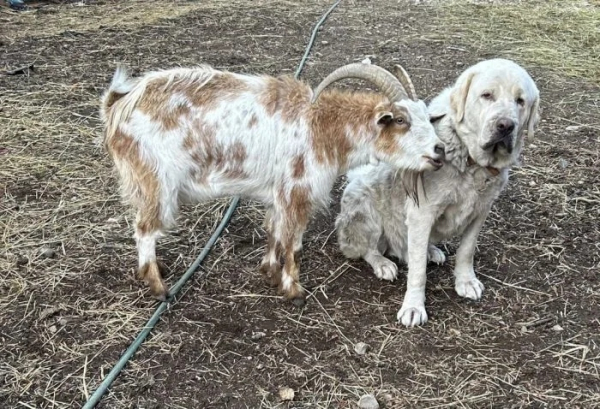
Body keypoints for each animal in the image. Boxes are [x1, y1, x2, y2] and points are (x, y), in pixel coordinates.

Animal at [99, 62, 446, 304]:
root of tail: (118, 105)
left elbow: (274, 231)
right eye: (400, 120)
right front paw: (294, 291)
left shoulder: (278, 193)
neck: (322, 127)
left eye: (427, 118)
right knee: (144, 229)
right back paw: (159, 287)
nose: (439, 151)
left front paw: (268, 271)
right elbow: (294, 243)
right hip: (156, 181)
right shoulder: (297, 190)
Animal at [336, 58, 540, 326]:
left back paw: (431, 251)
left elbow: (466, 250)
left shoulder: (481, 211)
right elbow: (418, 272)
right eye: (487, 95)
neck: (470, 163)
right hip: (366, 209)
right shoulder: (421, 214)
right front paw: (413, 307)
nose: (505, 126)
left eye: (520, 100)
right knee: (367, 249)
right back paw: (383, 264)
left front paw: (466, 282)